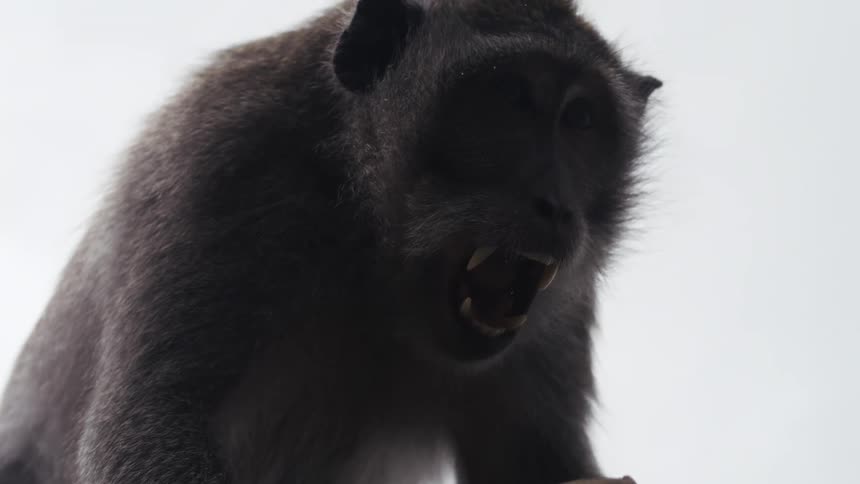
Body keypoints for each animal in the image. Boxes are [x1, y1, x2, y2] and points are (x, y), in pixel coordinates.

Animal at [0, 0, 661, 483]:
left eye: (579, 121)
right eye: (508, 101)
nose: (556, 205)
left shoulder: (563, 305)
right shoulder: (223, 165)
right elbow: (152, 420)